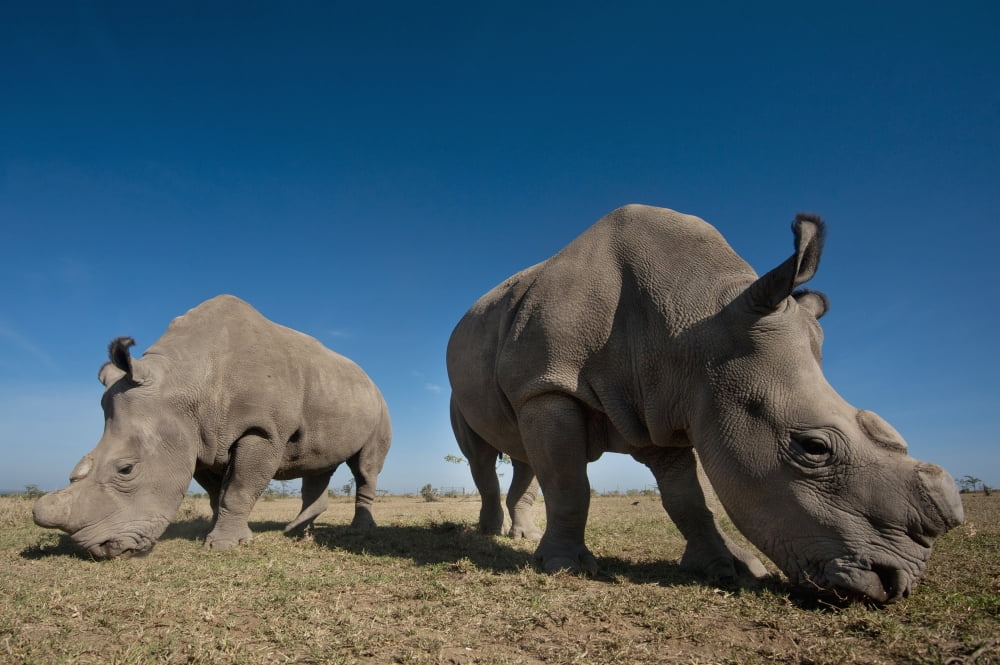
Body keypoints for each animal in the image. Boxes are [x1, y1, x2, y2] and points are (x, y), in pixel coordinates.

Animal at [34, 295, 391, 558]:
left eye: (126, 469)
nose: (97, 549)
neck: (184, 381)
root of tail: (368, 378)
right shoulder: (197, 440)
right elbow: (217, 494)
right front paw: (219, 533)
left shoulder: (262, 430)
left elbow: (239, 489)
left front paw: (223, 545)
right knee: (317, 464)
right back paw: (297, 532)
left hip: (379, 404)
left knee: (364, 467)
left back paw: (358, 529)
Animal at [446, 204, 963, 603]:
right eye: (813, 447)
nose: (896, 584)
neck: (697, 321)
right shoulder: (549, 386)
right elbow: (570, 484)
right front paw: (564, 567)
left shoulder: (662, 403)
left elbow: (688, 500)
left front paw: (730, 568)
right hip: (477, 387)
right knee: (484, 456)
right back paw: (489, 536)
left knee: (524, 455)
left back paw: (521, 537)